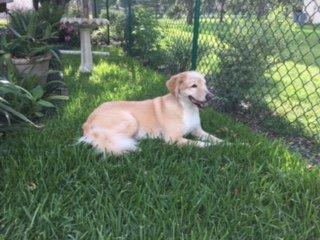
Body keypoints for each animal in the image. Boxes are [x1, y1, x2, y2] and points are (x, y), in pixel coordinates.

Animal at [81, 70, 224, 155]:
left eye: (205, 84)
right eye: (193, 86)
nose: (211, 96)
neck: (186, 108)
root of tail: (87, 122)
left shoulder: (197, 131)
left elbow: (213, 137)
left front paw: (225, 143)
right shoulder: (174, 139)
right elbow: (199, 143)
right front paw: (213, 146)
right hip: (131, 121)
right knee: (115, 139)